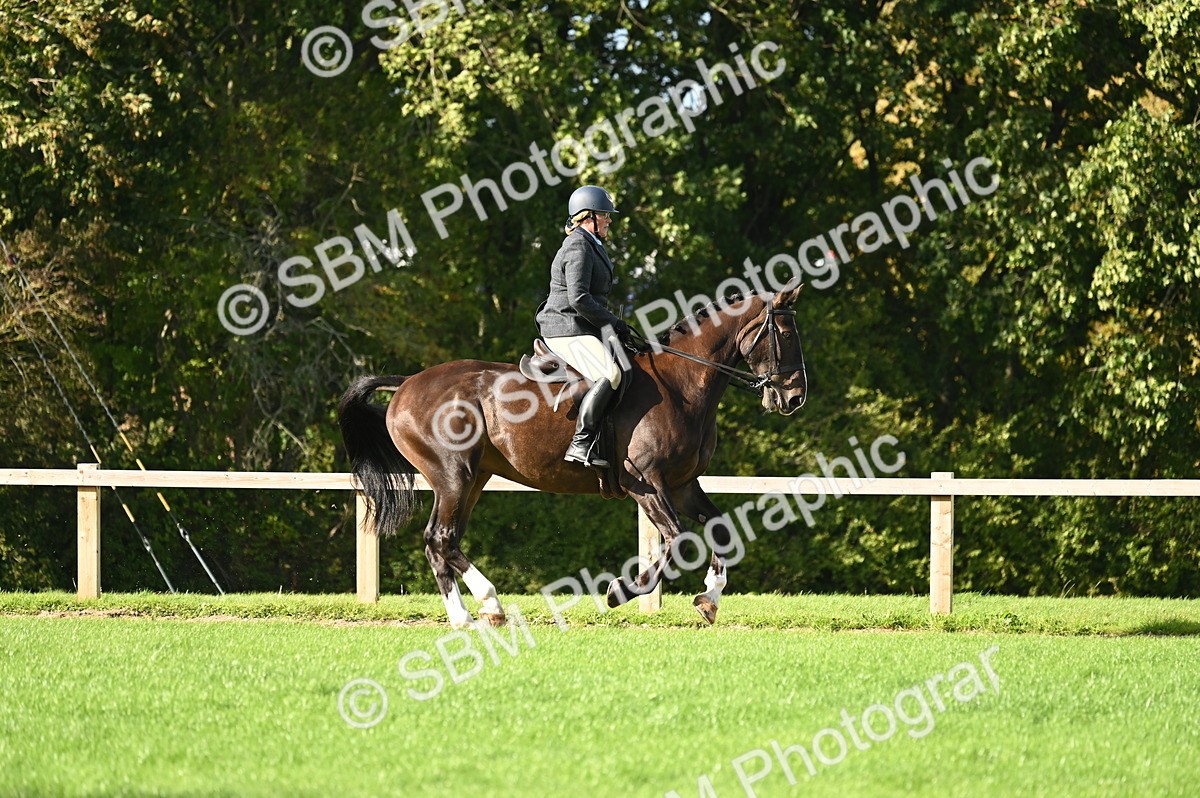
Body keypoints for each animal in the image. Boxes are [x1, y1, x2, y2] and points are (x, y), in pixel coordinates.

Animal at [337, 282, 807, 628]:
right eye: (785, 335)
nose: (795, 398)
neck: (682, 385)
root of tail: (407, 384)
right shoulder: (646, 483)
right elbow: (676, 538)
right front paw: (620, 591)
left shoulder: (682, 485)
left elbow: (720, 530)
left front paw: (709, 599)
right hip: (453, 476)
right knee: (440, 538)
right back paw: (478, 610)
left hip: (473, 479)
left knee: (444, 542)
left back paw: (479, 612)